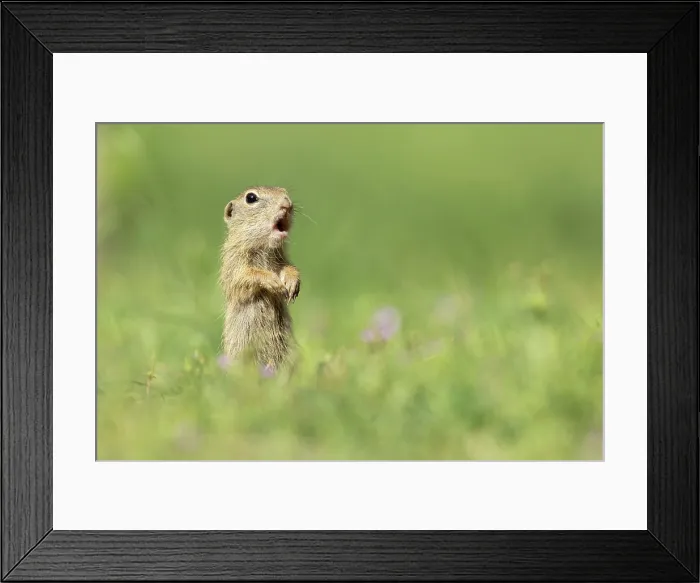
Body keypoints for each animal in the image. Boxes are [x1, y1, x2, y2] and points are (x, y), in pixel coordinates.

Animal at [219, 186, 301, 370]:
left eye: (284, 190)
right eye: (251, 197)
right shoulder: (234, 262)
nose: (287, 204)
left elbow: (289, 268)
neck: (264, 248)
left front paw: (292, 284)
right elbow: (245, 276)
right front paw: (273, 281)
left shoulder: (281, 259)